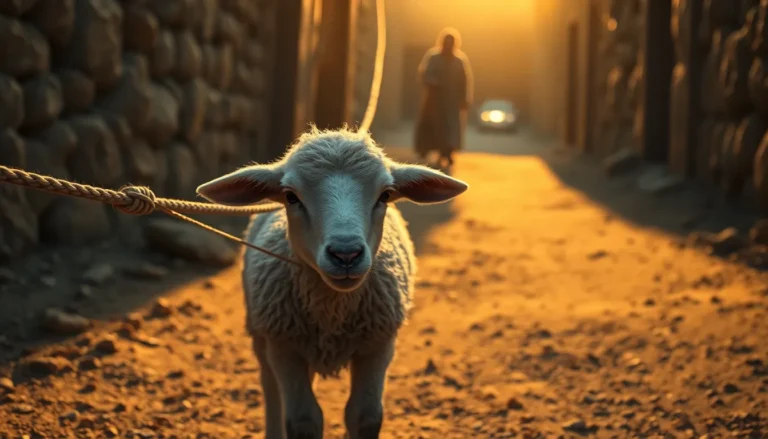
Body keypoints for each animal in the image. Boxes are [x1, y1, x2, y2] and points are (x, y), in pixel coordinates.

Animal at [196, 127, 468, 439]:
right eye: (290, 197)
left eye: (386, 195)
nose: (346, 254)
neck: (332, 311)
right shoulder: (284, 348)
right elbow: (303, 420)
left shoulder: (378, 345)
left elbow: (365, 416)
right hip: (260, 331)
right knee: (270, 386)